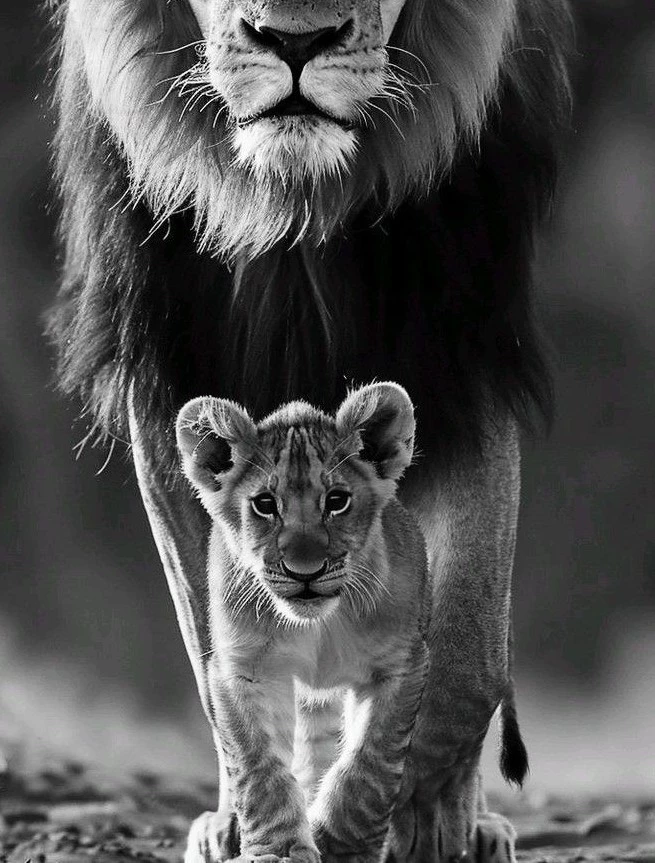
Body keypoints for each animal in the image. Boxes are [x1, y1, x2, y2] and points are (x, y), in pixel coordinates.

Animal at [47, 0, 570, 859]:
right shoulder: (167, 363)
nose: (294, 44)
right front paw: (249, 815)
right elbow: (211, 635)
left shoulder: (460, 351)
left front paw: (421, 815)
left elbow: (464, 648)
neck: (297, 203)